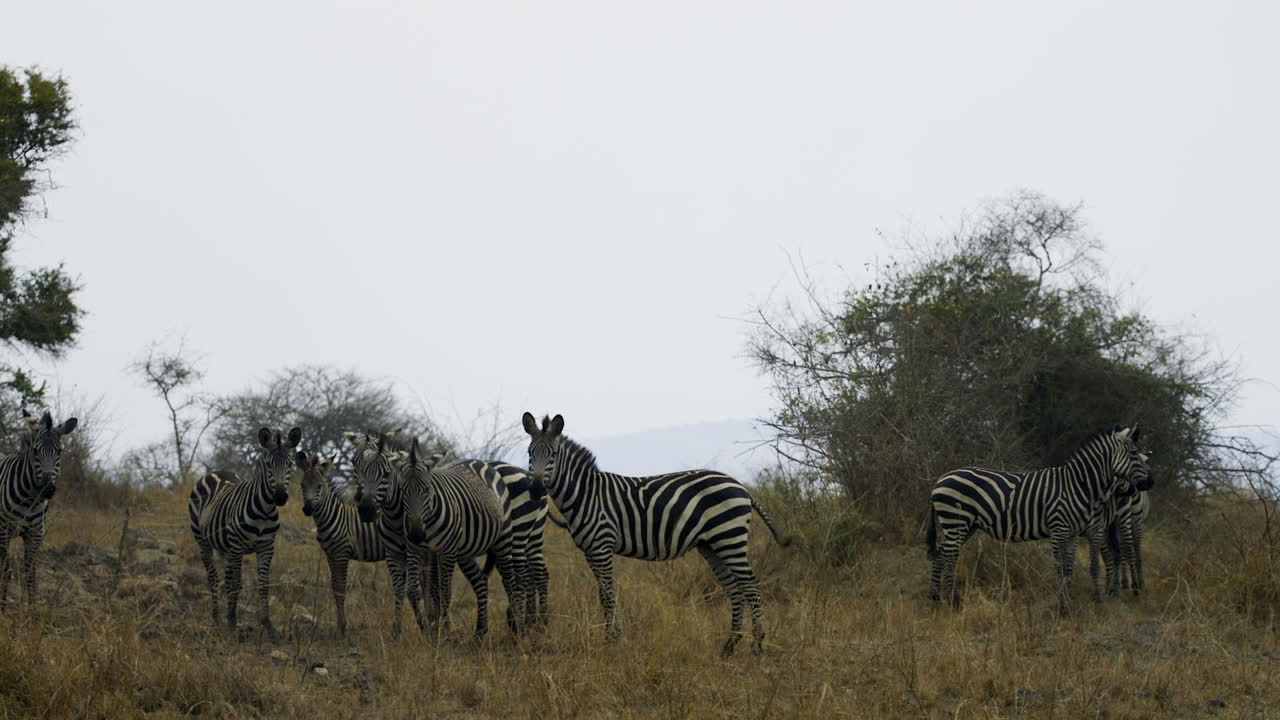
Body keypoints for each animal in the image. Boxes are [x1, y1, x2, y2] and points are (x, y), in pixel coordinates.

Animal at [0, 409, 77, 610]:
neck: (30, 500)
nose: (47, 489)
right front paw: (2, 607)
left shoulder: (35, 533)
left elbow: (30, 574)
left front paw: (33, 610)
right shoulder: (4, 530)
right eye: (35, 451)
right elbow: (6, 571)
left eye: (59, 451)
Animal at [189, 427, 301, 636]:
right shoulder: (237, 545)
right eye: (268, 465)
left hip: (224, 547)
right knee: (214, 578)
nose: (280, 497)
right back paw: (217, 618)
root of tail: (216, 471)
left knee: (225, 578)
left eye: (290, 464)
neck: (264, 512)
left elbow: (264, 583)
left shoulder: (266, 546)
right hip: (203, 541)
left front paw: (268, 625)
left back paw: (224, 616)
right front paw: (233, 622)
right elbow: (236, 582)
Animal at [521, 412, 792, 657]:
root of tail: (741, 487)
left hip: (729, 538)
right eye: (529, 453)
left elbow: (608, 594)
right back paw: (730, 646)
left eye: (553, 455)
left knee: (751, 586)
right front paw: (614, 636)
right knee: (734, 589)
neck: (585, 495)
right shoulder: (591, 551)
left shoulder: (602, 546)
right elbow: (605, 594)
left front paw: (612, 641)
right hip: (712, 545)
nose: (535, 490)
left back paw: (757, 646)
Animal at [926, 426, 1151, 613]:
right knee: (949, 556)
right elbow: (1061, 567)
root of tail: (940, 480)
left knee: (941, 553)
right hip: (956, 521)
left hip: (964, 525)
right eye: (1133, 454)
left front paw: (1068, 601)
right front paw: (1063, 606)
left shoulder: (1073, 533)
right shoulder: (1060, 529)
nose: (1151, 482)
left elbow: (1069, 567)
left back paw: (936, 598)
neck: (1078, 486)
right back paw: (953, 602)